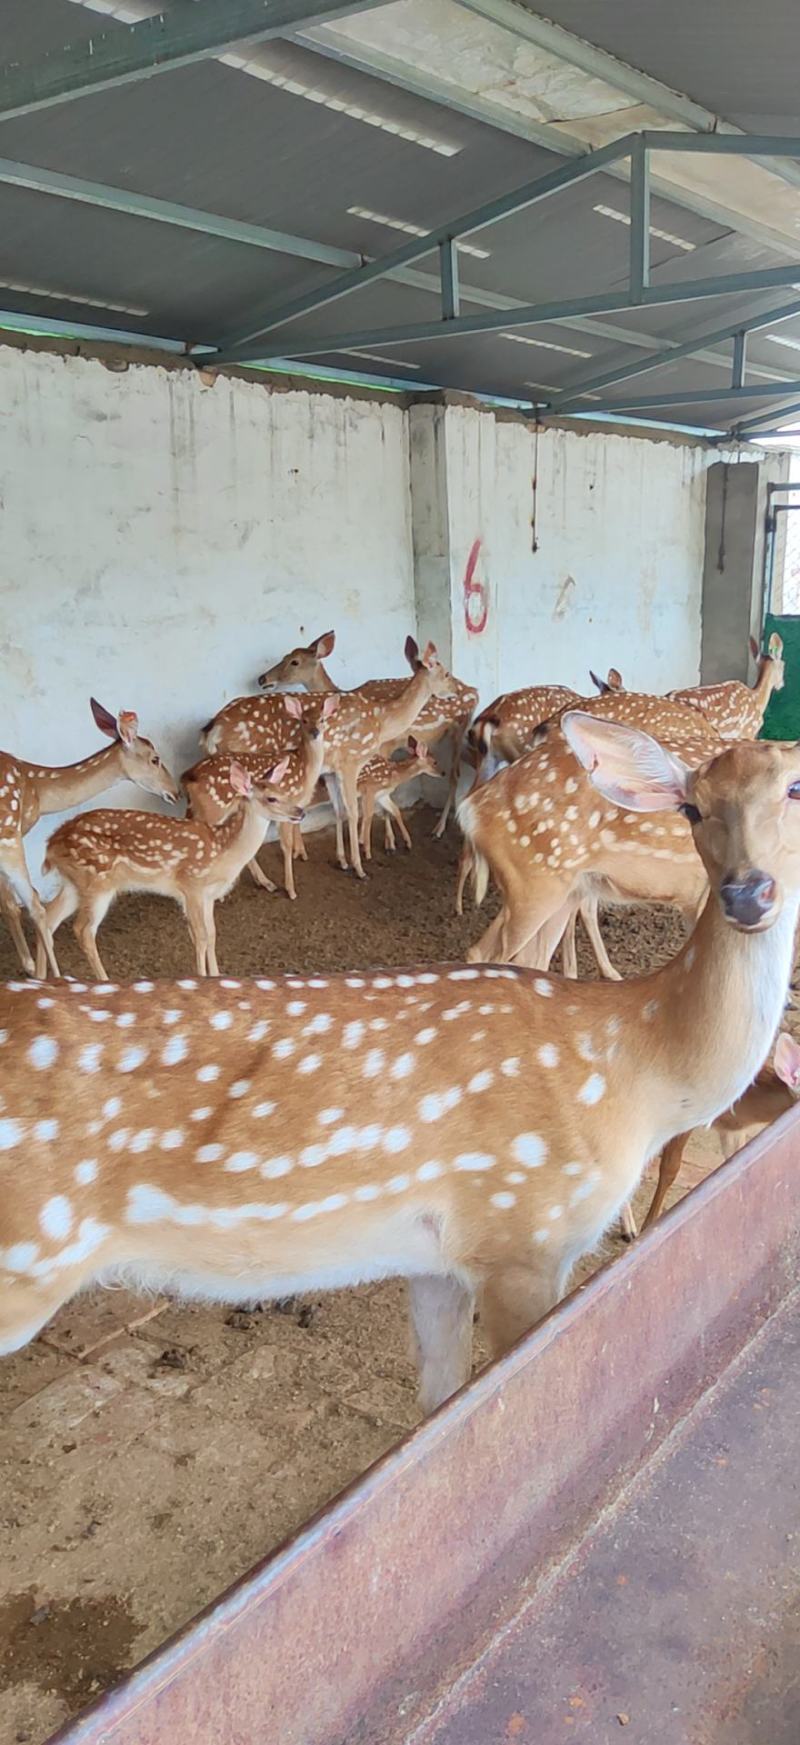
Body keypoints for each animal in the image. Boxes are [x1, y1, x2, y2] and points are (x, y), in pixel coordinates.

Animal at [0, 700, 178, 980]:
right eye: (155, 759)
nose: (175, 791)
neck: (39, 791)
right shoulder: (10, 832)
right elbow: (19, 904)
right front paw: (31, 967)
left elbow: (6, 903)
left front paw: (29, 964)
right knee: (38, 908)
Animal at [36, 761, 302, 980]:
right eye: (271, 798)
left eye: (285, 792)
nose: (300, 812)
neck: (222, 851)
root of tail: (51, 843)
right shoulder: (191, 884)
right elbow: (200, 937)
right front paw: (202, 978)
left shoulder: (208, 895)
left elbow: (212, 935)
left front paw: (217, 975)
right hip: (97, 881)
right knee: (83, 931)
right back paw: (102, 980)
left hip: (75, 882)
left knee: (48, 917)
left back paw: (43, 976)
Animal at [184, 695, 339, 901]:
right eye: (304, 720)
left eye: (322, 719)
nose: (315, 732)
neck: (305, 769)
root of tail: (189, 778)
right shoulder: (286, 807)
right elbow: (286, 845)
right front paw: (291, 890)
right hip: (212, 809)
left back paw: (264, 882)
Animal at [205, 643, 455, 880]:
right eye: (445, 673)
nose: (455, 690)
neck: (381, 720)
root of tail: (212, 731)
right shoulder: (350, 761)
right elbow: (355, 812)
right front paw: (360, 866)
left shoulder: (330, 771)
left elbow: (339, 811)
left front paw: (342, 861)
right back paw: (265, 881)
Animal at [258, 631, 478, 839]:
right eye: (286, 656)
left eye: (294, 661)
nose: (262, 679)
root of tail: (475, 691)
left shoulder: (382, 747)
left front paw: (386, 841)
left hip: (458, 732)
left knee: (454, 776)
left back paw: (439, 829)